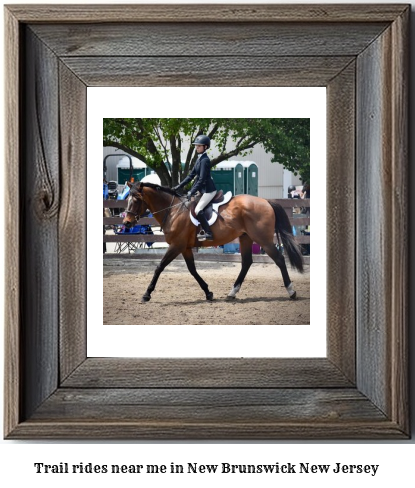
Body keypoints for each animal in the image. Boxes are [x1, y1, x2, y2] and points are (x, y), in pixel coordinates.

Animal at [122, 183, 304, 304]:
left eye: (136, 200)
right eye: (128, 200)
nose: (127, 223)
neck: (173, 210)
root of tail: (266, 202)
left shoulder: (176, 245)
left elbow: (159, 267)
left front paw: (146, 294)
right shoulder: (185, 247)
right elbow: (192, 270)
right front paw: (208, 292)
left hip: (263, 239)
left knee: (279, 259)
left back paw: (291, 291)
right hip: (246, 237)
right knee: (246, 262)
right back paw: (232, 293)